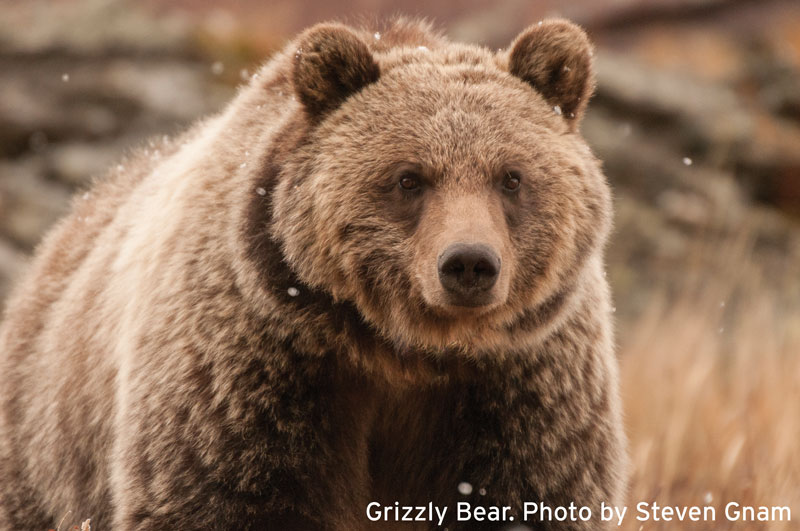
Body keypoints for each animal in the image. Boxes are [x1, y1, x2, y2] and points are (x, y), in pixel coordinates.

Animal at [0, 16, 624, 531]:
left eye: (511, 177)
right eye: (409, 178)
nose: (469, 263)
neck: (405, 351)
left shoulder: (522, 388)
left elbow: (530, 492)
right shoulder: (254, 373)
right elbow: (227, 497)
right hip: (46, 437)